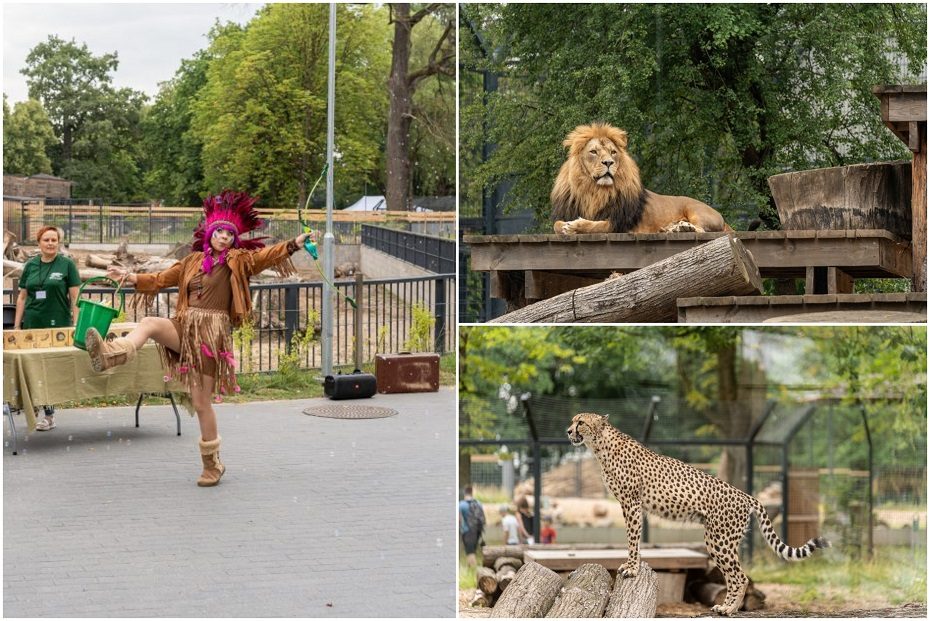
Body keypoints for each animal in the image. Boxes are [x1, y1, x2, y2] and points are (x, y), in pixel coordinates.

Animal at [548, 122, 728, 234]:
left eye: (613, 152)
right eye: (593, 152)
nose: (608, 162)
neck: (594, 191)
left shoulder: (620, 223)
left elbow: (598, 226)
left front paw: (575, 226)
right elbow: (556, 225)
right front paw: (566, 226)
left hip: (696, 211)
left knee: (701, 229)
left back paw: (683, 228)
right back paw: (673, 228)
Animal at [564, 412, 828, 616]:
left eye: (581, 422)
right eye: (573, 421)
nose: (567, 431)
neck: (600, 446)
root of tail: (746, 495)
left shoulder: (631, 503)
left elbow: (632, 538)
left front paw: (631, 568)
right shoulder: (630, 505)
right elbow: (634, 538)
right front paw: (633, 566)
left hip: (720, 540)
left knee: (740, 577)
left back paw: (730, 609)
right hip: (718, 541)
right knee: (732, 576)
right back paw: (724, 607)